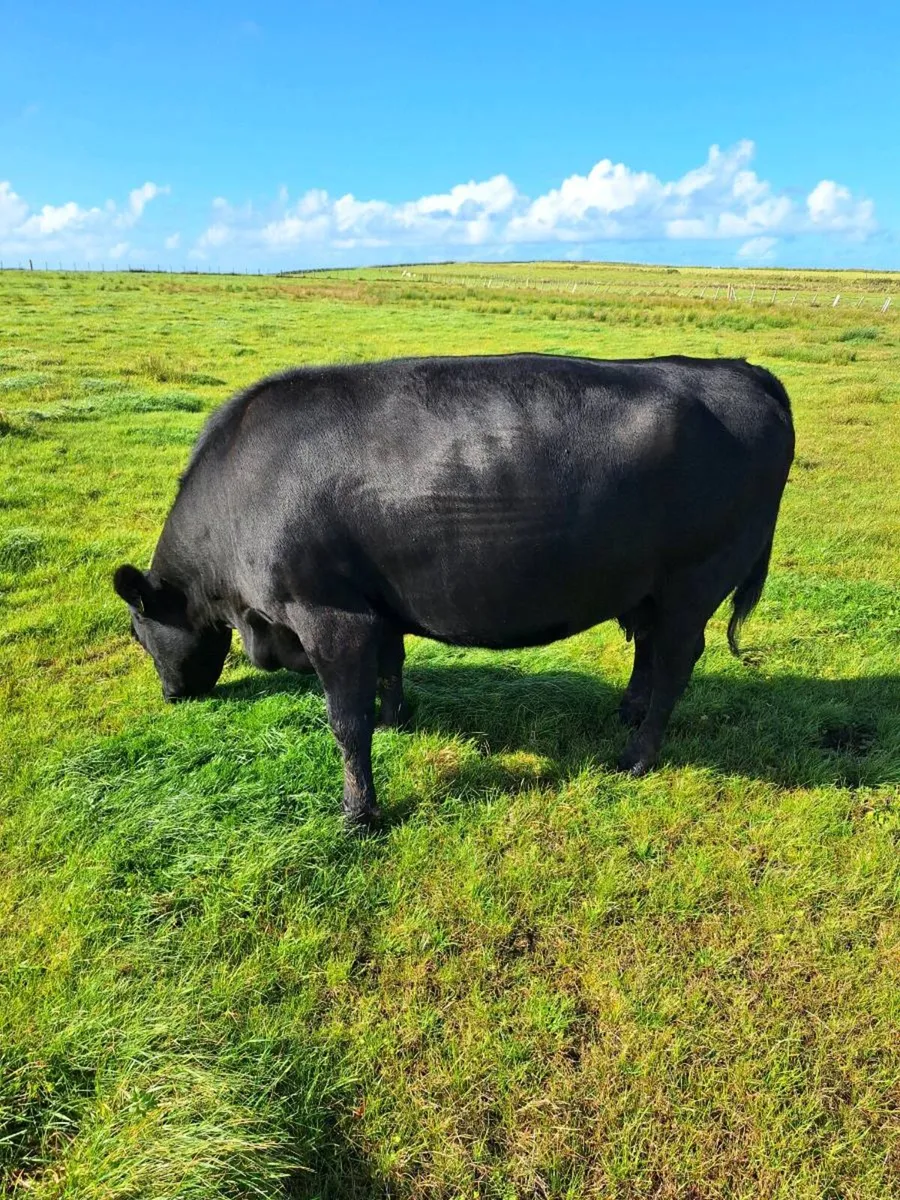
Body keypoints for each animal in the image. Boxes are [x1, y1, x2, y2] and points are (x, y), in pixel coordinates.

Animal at [113, 354, 794, 828]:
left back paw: (638, 753)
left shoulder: (330, 615)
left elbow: (346, 722)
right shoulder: (375, 606)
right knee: (648, 647)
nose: (171, 696)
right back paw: (628, 710)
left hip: (694, 581)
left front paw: (359, 814)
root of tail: (740, 369)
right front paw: (397, 720)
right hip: (649, 587)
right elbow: (390, 665)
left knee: (677, 658)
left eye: (138, 634)